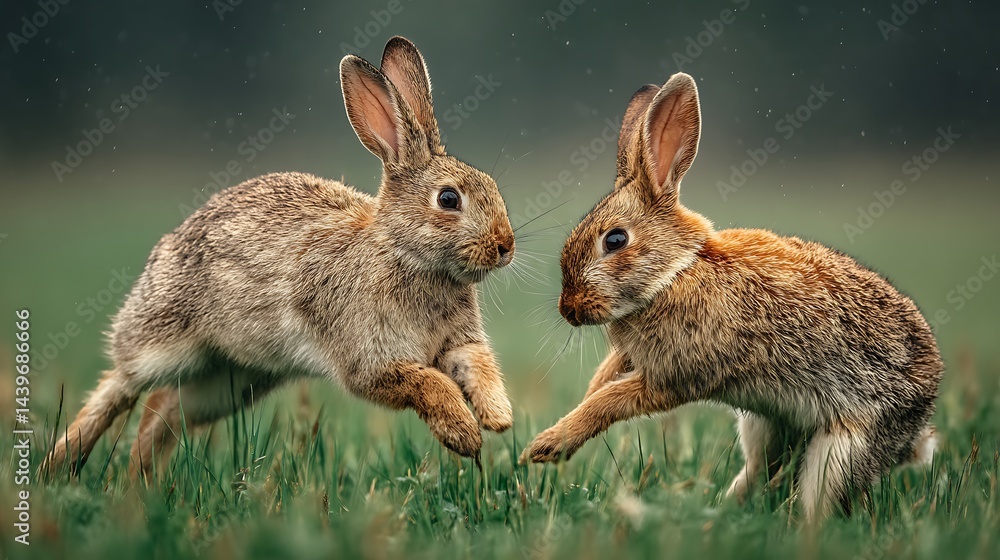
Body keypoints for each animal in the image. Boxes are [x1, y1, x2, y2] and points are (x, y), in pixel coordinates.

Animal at [44, 36, 515, 481]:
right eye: (449, 199)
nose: (505, 246)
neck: (404, 254)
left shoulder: (459, 343)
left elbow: (478, 366)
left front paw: (498, 417)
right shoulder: (371, 360)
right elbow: (428, 383)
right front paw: (464, 432)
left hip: (231, 380)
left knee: (163, 410)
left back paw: (137, 486)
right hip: (162, 342)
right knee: (120, 385)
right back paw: (61, 467)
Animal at [520, 72, 942, 521]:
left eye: (615, 240)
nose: (569, 309)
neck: (677, 273)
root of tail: (918, 430)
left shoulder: (675, 375)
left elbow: (610, 401)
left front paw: (547, 446)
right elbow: (604, 378)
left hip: (843, 449)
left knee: (820, 500)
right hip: (766, 426)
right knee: (759, 471)